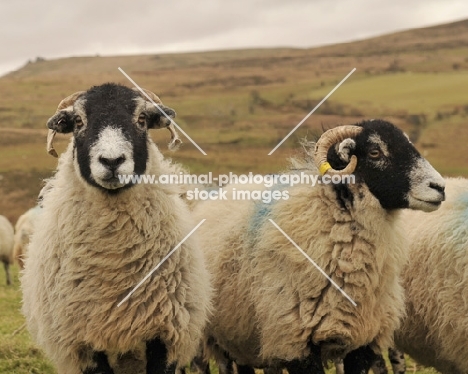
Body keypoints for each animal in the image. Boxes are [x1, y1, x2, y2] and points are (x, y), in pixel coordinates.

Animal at [21, 83, 212, 374]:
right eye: (78, 121)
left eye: (142, 119)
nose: (112, 161)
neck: (113, 260)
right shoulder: (84, 344)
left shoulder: (165, 336)